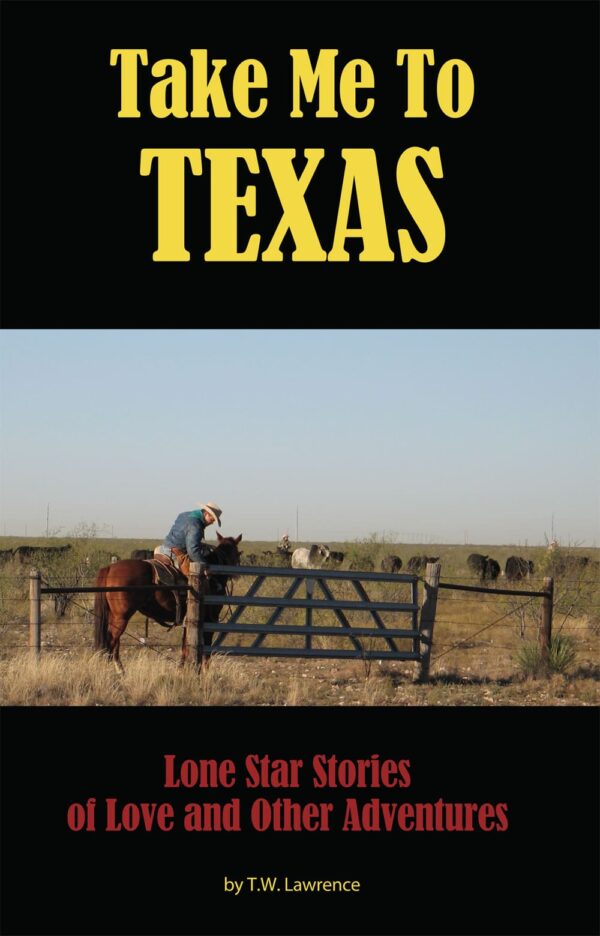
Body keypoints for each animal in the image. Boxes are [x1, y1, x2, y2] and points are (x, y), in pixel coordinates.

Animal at [92, 532, 240, 668]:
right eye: (237, 553)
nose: (236, 575)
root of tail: (110, 567)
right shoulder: (209, 621)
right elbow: (205, 653)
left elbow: (185, 647)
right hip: (121, 617)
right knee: (111, 641)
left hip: (114, 616)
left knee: (114, 643)